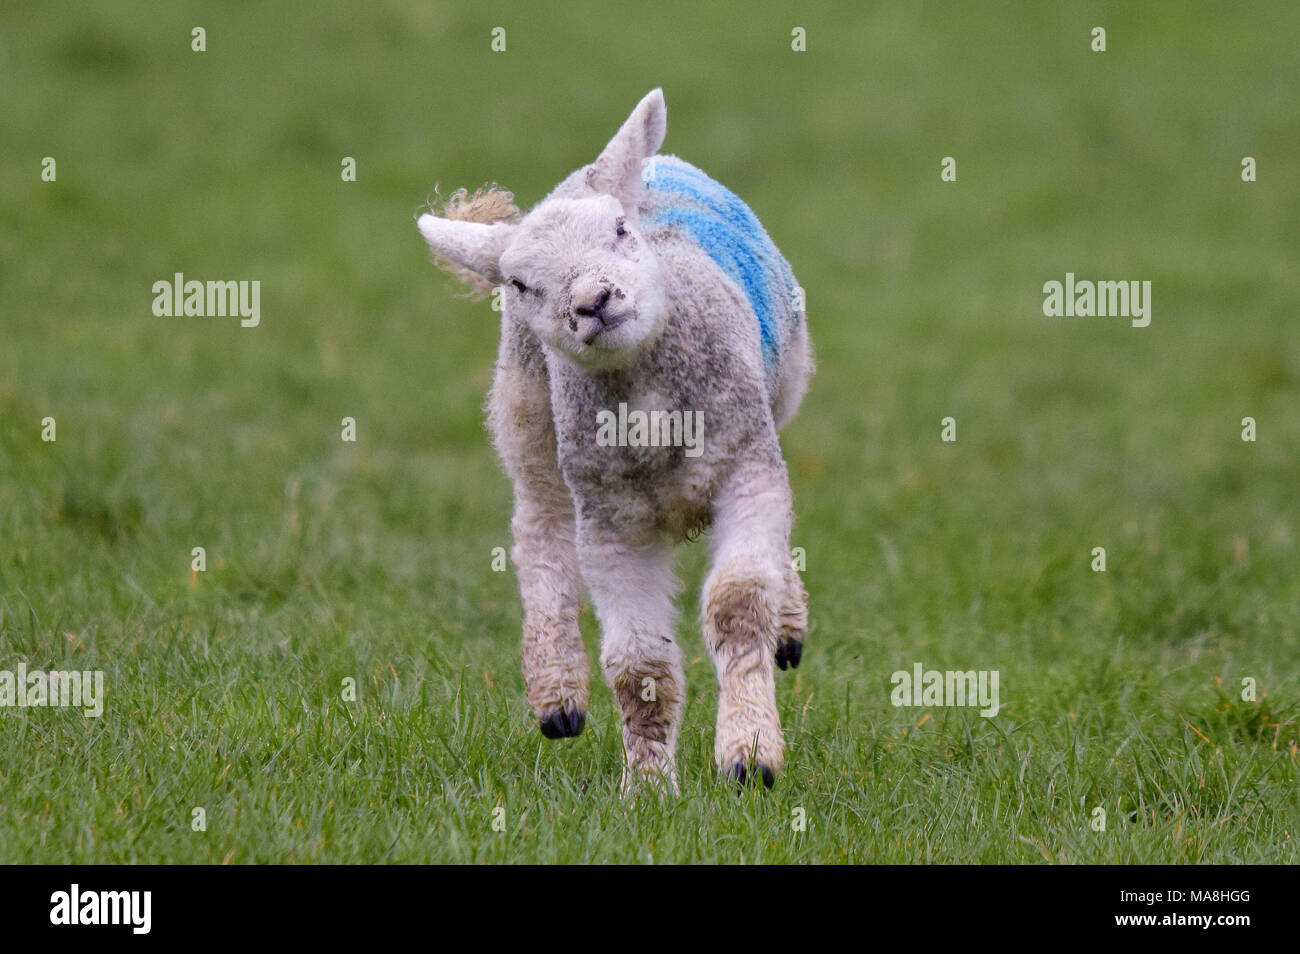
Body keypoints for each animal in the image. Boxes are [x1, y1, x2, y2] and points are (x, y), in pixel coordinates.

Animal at [416, 89, 812, 792]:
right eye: (521, 283)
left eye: (622, 231)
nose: (595, 301)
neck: (650, 411)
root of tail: (592, 174)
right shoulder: (610, 522)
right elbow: (637, 665)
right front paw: (648, 788)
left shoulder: (745, 465)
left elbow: (738, 603)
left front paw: (748, 756)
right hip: (528, 414)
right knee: (539, 527)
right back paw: (557, 693)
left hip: (781, 388)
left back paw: (789, 625)